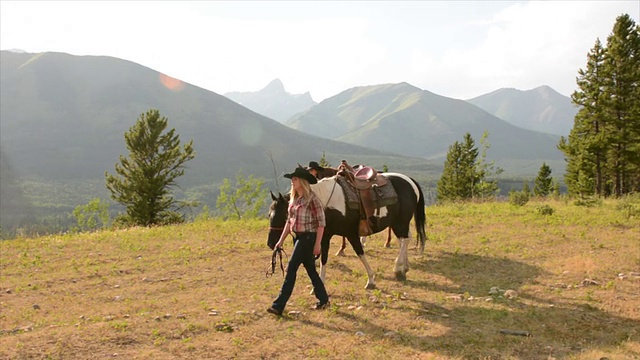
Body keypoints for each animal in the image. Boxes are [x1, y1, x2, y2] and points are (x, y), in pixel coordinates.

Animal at [268, 172, 428, 290]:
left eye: (284, 215)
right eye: (269, 215)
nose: (271, 243)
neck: (326, 203)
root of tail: (410, 180)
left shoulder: (351, 234)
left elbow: (360, 253)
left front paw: (371, 280)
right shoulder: (325, 236)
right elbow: (324, 259)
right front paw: (319, 285)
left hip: (400, 222)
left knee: (406, 239)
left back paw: (397, 269)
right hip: (397, 224)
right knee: (404, 240)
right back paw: (404, 267)